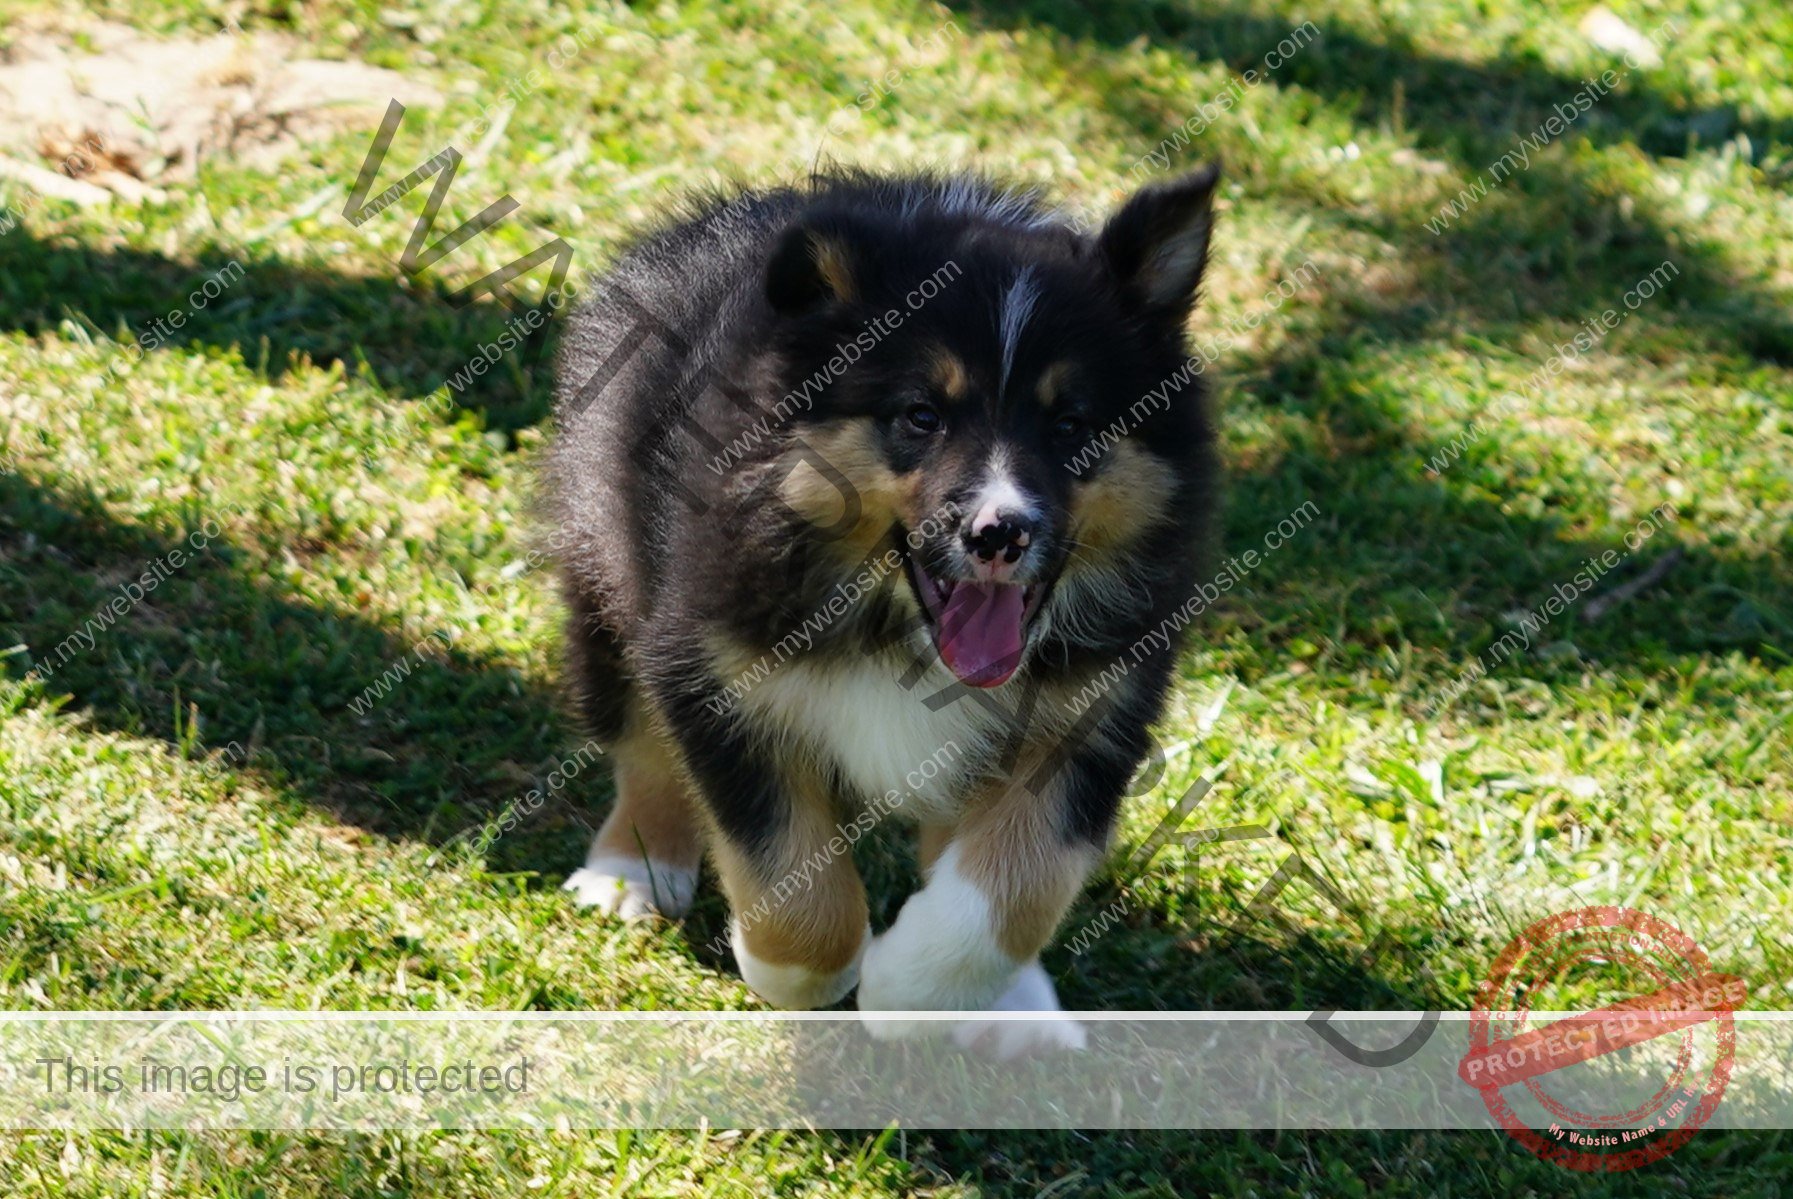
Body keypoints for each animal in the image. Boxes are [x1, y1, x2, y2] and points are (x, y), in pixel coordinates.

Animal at [545, 165, 1219, 1046]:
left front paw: (916, 986)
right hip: (603, 560)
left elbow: (1022, 878)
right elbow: (793, 887)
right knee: (637, 738)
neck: (898, 634)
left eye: (1071, 426)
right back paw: (631, 871)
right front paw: (799, 967)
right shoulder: (710, 663)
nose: (1000, 532)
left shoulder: (1093, 709)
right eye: (920, 416)